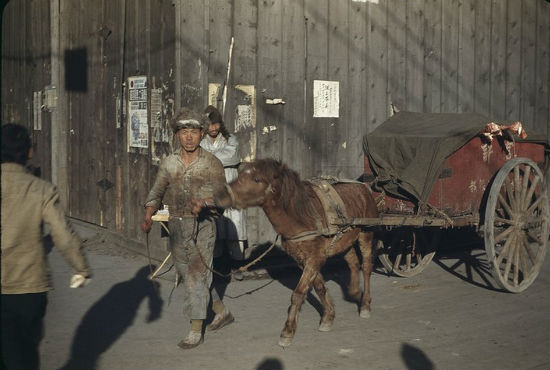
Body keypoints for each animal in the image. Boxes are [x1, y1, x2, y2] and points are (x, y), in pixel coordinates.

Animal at [203, 159, 380, 346]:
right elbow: (319, 287)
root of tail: (363, 187)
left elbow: (298, 294)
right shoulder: (303, 259)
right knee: (353, 262)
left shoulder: (315, 258)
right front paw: (328, 317)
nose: (220, 195)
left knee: (366, 267)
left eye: (257, 179)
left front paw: (288, 331)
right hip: (344, 240)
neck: (302, 217)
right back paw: (355, 293)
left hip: (366, 234)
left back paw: (365, 305)